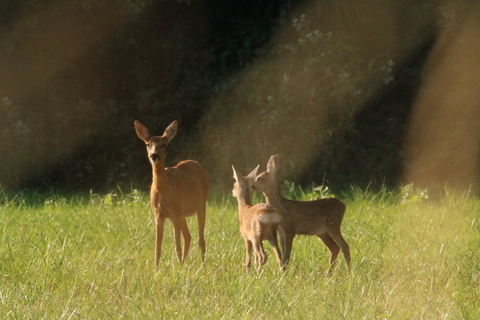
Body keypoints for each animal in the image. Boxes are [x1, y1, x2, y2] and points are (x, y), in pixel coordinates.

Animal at [133, 119, 208, 266]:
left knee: (200, 239)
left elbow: (176, 245)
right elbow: (157, 248)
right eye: (148, 144)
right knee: (188, 236)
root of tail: (196, 164)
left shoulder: (174, 213)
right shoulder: (158, 214)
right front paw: (156, 267)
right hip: (182, 214)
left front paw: (177, 266)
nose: (154, 155)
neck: (163, 190)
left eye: (164, 145)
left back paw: (201, 265)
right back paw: (185, 263)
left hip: (202, 202)